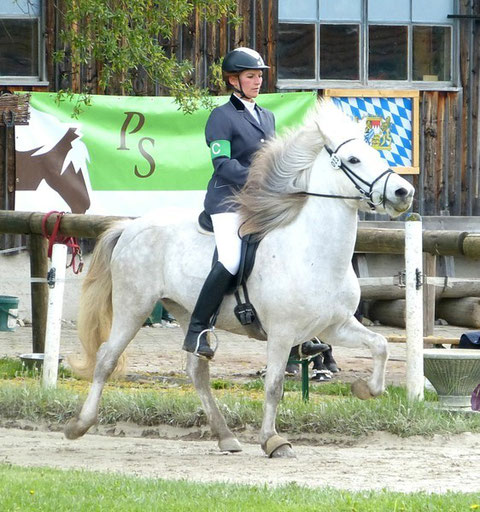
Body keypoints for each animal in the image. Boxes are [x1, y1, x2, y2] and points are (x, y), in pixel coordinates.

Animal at [65, 99, 414, 456]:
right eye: (354, 159)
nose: (404, 192)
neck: (314, 251)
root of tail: (131, 226)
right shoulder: (282, 334)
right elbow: (274, 385)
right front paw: (273, 440)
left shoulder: (334, 325)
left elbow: (380, 345)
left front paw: (366, 389)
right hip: (133, 306)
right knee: (106, 358)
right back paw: (79, 425)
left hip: (186, 311)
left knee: (197, 370)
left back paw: (225, 436)